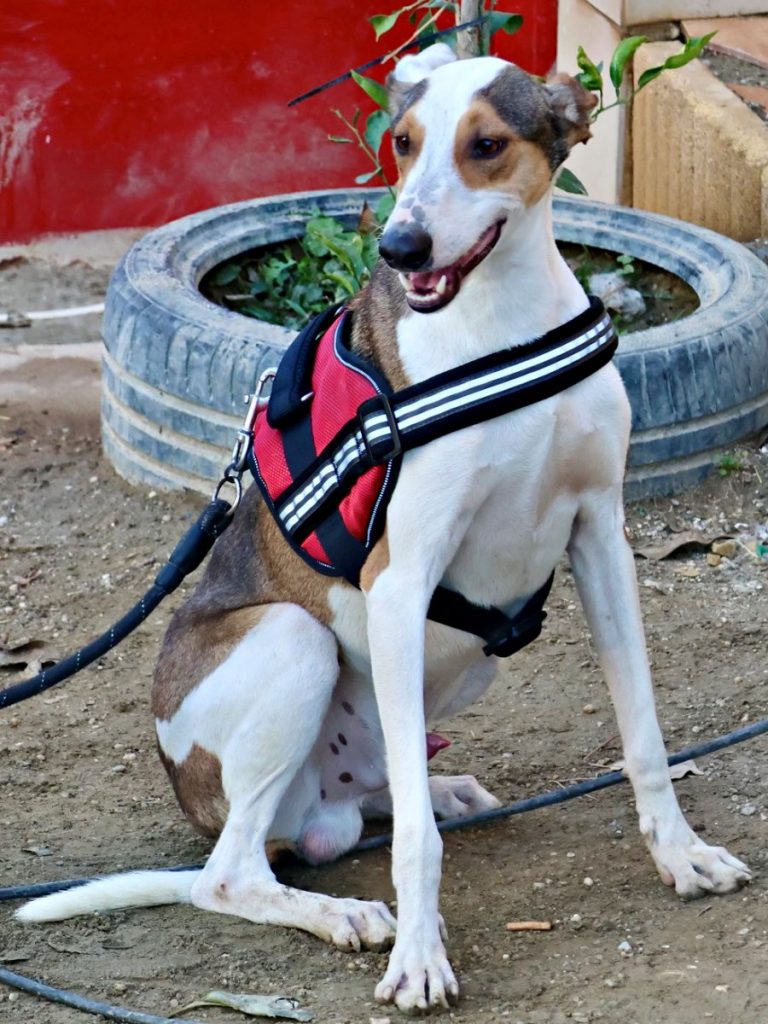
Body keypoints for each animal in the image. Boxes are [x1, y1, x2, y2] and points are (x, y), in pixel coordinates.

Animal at [18, 44, 751, 1013]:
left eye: (487, 144)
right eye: (400, 143)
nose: (400, 246)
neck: (500, 323)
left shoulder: (601, 538)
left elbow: (645, 738)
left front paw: (680, 855)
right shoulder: (400, 583)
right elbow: (414, 853)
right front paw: (421, 957)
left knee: (373, 800)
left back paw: (436, 791)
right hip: (293, 642)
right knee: (232, 873)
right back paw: (343, 912)